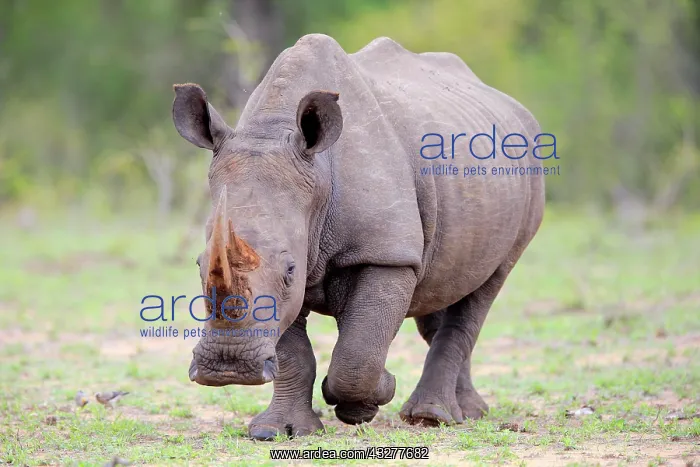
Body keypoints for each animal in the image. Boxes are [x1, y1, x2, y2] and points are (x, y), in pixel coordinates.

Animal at [172, 34, 545, 440]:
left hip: (529, 178)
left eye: (289, 270)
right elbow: (293, 350)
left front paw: (370, 397)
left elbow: (358, 354)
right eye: (199, 265)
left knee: (487, 285)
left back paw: (433, 417)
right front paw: (278, 431)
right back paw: (467, 411)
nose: (229, 367)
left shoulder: (387, 255)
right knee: (443, 286)